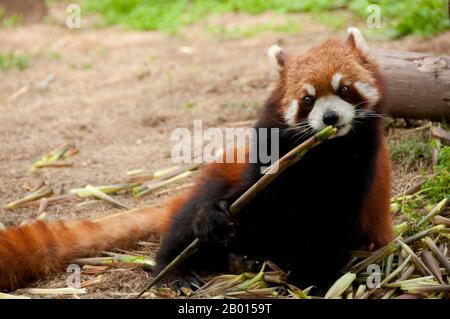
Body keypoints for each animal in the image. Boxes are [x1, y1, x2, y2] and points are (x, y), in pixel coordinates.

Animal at [0, 28, 390, 294]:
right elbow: (254, 193)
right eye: (307, 99)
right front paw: (216, 216)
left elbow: (330, 228)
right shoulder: (270, 152)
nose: (330, 119)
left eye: (343, 90)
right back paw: (182, 268)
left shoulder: (357, 171)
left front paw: (313, 278)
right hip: (212, 183)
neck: (318, 154)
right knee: (186, 224)